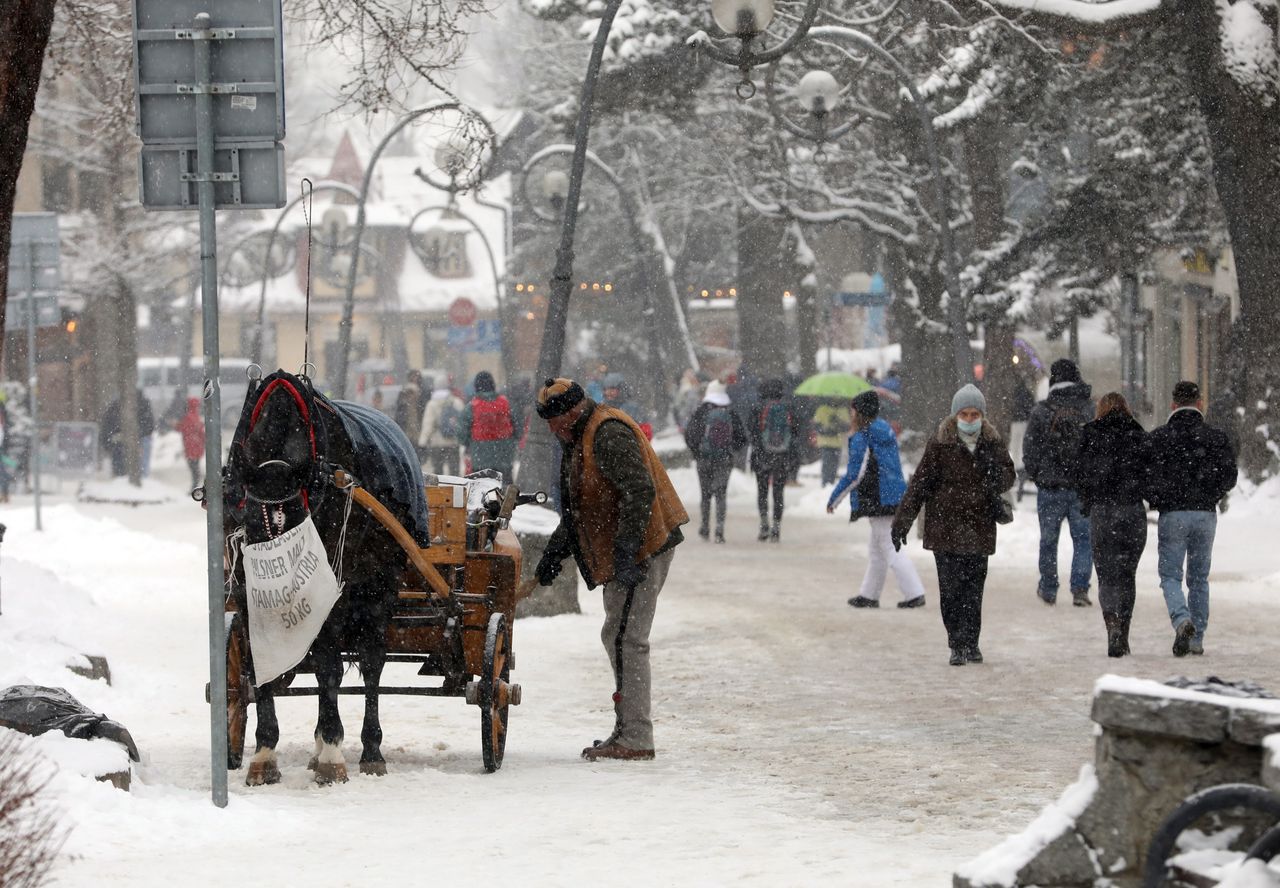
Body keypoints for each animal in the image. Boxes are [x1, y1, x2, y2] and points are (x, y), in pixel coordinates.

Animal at [225, 371, 430, 788]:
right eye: (249, 519)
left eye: (299, 518)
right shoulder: (247, 595)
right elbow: (258, 668)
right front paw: (264, 755)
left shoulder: (334, 592)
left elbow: (330, 669)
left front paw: (334, 755)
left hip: (376, 592)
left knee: (371, 664)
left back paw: (370, 750)